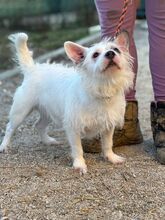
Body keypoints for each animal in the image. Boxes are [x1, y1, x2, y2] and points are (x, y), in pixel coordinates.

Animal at [0, 31, 134, 174]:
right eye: (95, 55)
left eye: (116, 49)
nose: (110, 53)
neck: (102, 87)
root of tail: (32, 69)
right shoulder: (73, 128)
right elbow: (77, 148)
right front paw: (79, 164)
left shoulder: (108, 126)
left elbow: (108, 144)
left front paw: (111, 158)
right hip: (20, 112)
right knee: (9, 128)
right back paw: (4, 146)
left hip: (48, 112)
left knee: (39, 125)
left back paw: (48, 141)